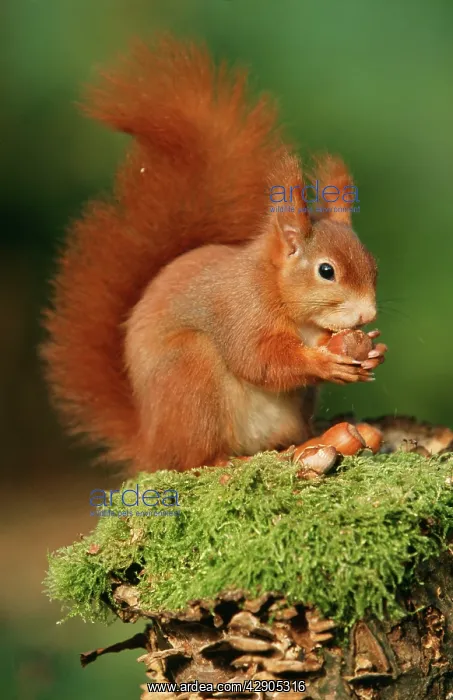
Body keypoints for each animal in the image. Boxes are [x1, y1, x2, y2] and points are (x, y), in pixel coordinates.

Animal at [41, 36, 386, 474]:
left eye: (374, 266)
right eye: (327, 271)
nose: (367, 314)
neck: (276, 289)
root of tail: (151, 444)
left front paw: (371, 349)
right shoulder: (241, 312)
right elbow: (260, 360)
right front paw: (324, 362)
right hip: (190, 375)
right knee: (194, 459)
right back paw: (226, 463)